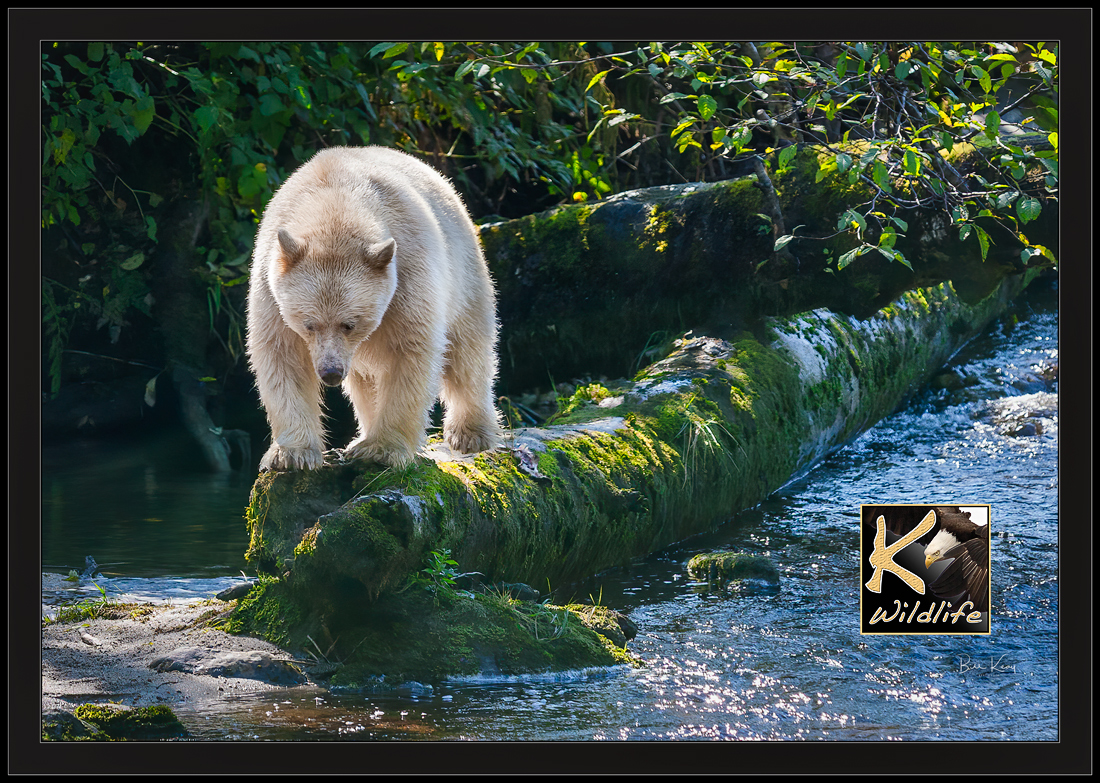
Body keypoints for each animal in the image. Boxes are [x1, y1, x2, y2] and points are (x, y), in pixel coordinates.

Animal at [245, 145, 501, 471]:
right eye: (309, 323)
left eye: (349, 323)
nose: (330, 372)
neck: (334, 198)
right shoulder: (270, 287)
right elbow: (282, 356)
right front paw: (291, 454)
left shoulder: (408, 273)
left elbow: (411, 351)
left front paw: (382, 449)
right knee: (364, 381)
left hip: (464, 271)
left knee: (467, 353)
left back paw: (471, 434)